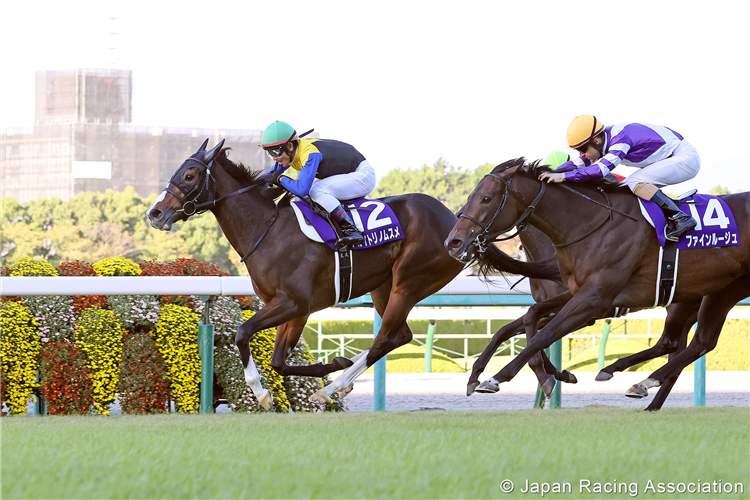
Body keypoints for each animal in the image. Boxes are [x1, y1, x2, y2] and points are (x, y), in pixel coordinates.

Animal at [147, 141, 560, 410]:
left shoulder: (292, 303)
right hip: (383, 285)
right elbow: (278, 360)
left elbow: (243, 333)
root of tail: (458, 223)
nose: (155, 213)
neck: (268, 228)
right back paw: (342, 381)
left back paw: (335, 387)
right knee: (398, 335)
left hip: (410, 278)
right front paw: (332, 366)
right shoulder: (295, 308)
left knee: (387, 337)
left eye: (189, 173)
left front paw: (267, 393)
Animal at [450, 157, 748, 410]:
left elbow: (542, 335)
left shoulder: (594, 302)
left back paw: (642, 384)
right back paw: (636, 386)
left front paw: (499, 378)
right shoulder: (576, 293)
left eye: (486, 199)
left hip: (715, 293)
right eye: (470, 197)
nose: (453, 241)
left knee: (695, 343)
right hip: (704, 293)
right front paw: (483, 375)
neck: (588, 225)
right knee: (684, 343)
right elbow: (523, 322)